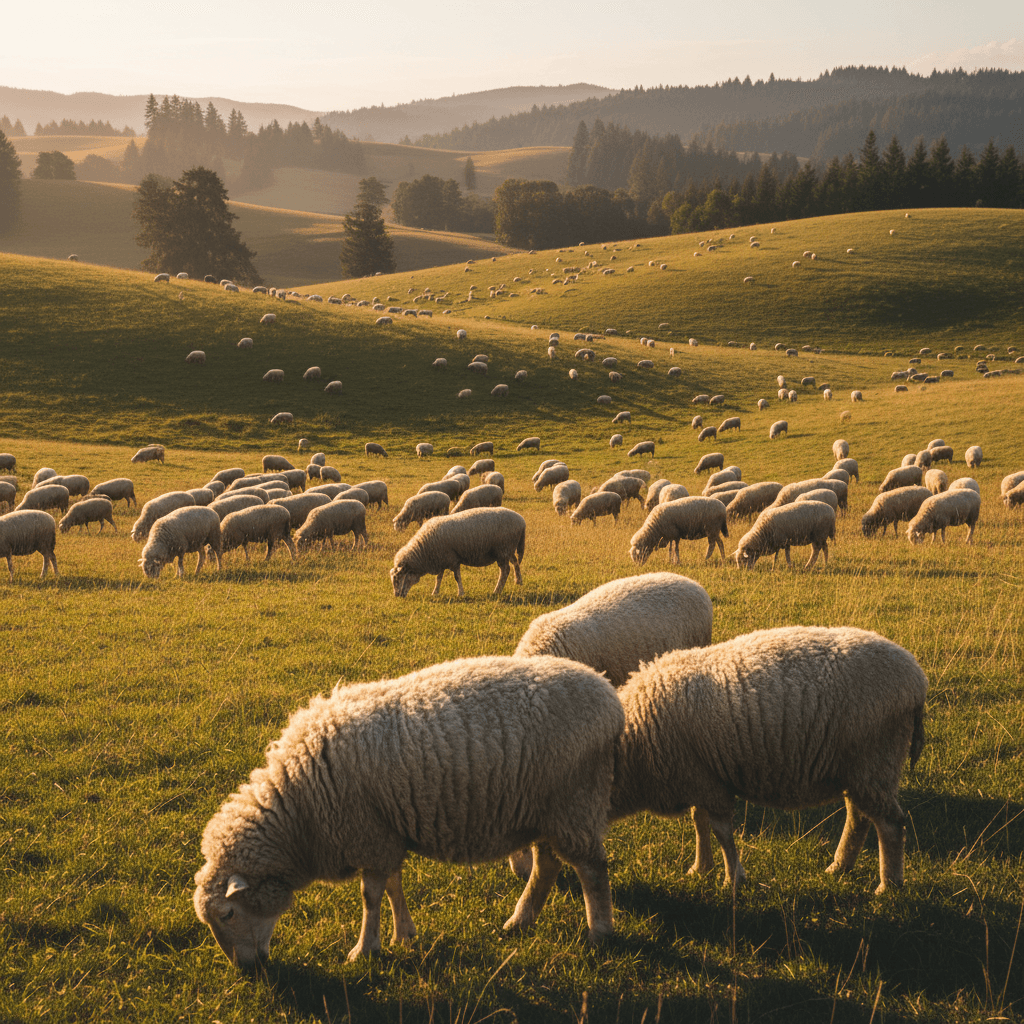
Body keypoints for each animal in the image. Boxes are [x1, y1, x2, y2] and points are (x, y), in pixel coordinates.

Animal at [193, 655, 621, 966]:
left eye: (227, 914)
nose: (246, 970)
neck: (300, 812)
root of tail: (607, 695)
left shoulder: (367, 834)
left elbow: (370, 897)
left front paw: (364, 950)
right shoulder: (384, 835)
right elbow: (393, 885)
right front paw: (404, 934)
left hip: (574, 803)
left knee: (592, 870)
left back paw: (599, 932)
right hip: (548, 811)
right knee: (548, 865)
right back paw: (519, 921)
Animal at [390, 507, 526, 597]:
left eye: (398, 578)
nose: (397, 595)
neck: (424, 550)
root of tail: (521, 520)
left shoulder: (453, 559)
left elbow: (456, 577)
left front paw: (460, 593)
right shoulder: (441, 559)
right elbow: (439, 578)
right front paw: (435, 592)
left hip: (503, 550)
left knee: (505, 571)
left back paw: (497, 590)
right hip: (508, 549)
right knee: (515, 562)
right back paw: (518, 580)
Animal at [610, 626, 927, 893]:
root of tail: (916, 678)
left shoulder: (708, 782)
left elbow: (721, 831)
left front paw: (732, 880)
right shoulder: (701, 778)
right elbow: (699, 822)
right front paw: (700, 869)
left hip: (876, 760)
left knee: (890, 824)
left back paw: (888, 886)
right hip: (857, 769)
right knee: (858, 817)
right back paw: (839, 867)